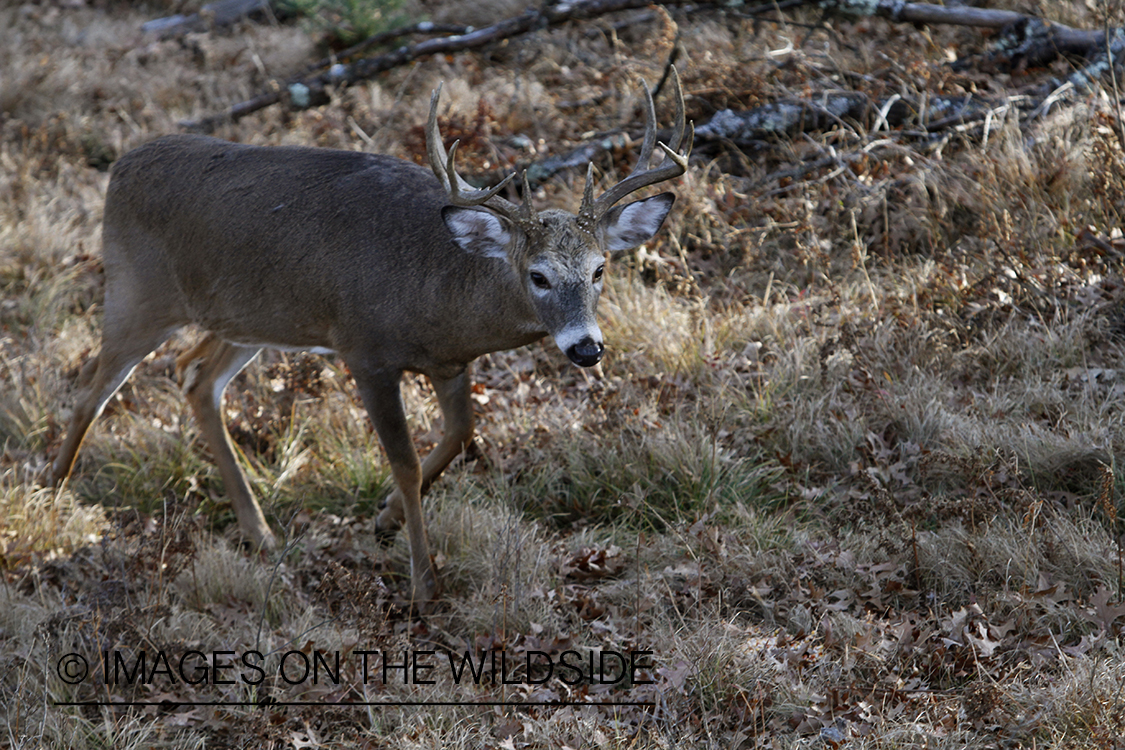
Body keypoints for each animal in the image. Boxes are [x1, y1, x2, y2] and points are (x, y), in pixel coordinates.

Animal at [50, 70, 693, 607]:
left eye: (600, 268)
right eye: (538, 275)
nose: (587, 348)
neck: (438, 289)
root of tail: (120, 166)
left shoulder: (449, 362)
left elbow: (461, 433)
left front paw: (384, 520)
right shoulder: (366, 351)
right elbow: (404, 463)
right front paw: (423, 583)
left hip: (252, 317)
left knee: (195, 376)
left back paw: (259, 531)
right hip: (137, 292)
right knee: (91, 390)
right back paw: (50, 495)